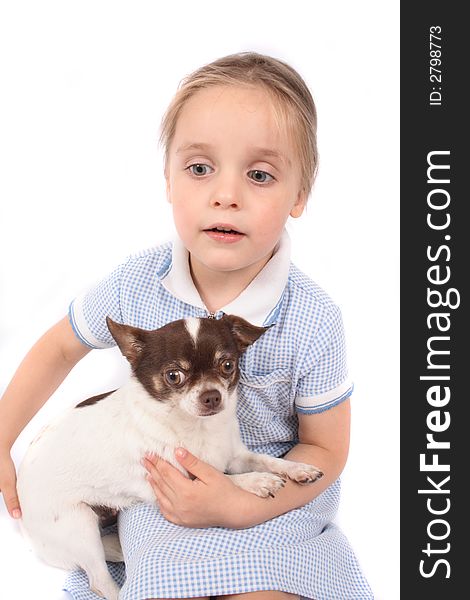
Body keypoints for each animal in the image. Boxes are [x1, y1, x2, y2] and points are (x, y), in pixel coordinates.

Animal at [15, 316, 324, 596]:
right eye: (174, 375)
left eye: (227, 365)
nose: (212, 396)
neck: (197, 428)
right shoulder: (180, 478)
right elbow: (225, 481)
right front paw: (258, 481)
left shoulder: (234, 456)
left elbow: (266, 460)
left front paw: (297, 468)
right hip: (78, 526)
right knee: (99, 580)